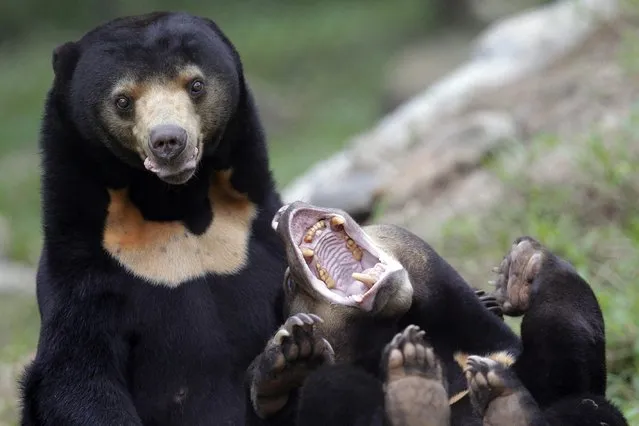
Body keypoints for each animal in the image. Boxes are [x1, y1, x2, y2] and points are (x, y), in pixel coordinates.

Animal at [250, 202, 632, 426]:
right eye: (289, 283)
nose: (282, 211)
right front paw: (291, 355)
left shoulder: (512, 357)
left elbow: (571, 363)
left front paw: (523, 267)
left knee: (586, 408)